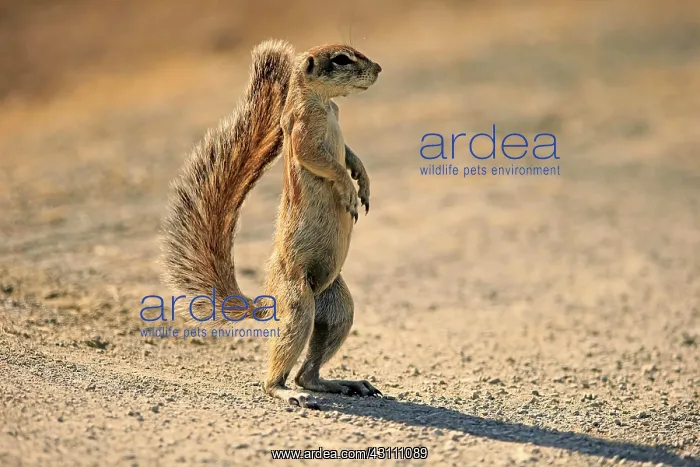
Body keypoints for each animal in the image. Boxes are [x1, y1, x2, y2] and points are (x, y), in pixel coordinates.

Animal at [160, 39, 383, 409]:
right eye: (341, 59)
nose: (378, 69)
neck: (325, 103)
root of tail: (268, 301)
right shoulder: (304, 130)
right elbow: (320, 160)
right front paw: (349, 192)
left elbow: (350, 154)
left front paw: (363, 181)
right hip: (298, 305)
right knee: (282, 371)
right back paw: (286, 392)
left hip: (338, 308)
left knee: (308, 372)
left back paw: (343, 383)